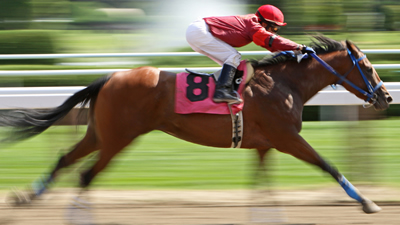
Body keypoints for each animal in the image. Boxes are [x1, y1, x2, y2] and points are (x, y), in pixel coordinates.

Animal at [1, 35, 392, 216]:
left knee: (66, 159)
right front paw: (367, 202)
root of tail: (109, 77)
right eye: (368, 67)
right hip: (118, 138)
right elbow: (329, 165)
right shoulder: (287, 138)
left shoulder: (264, 144)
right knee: (85, 174)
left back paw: (26, 196)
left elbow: (261, 185)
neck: (286, 84)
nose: (386, 97)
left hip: (100, 133)